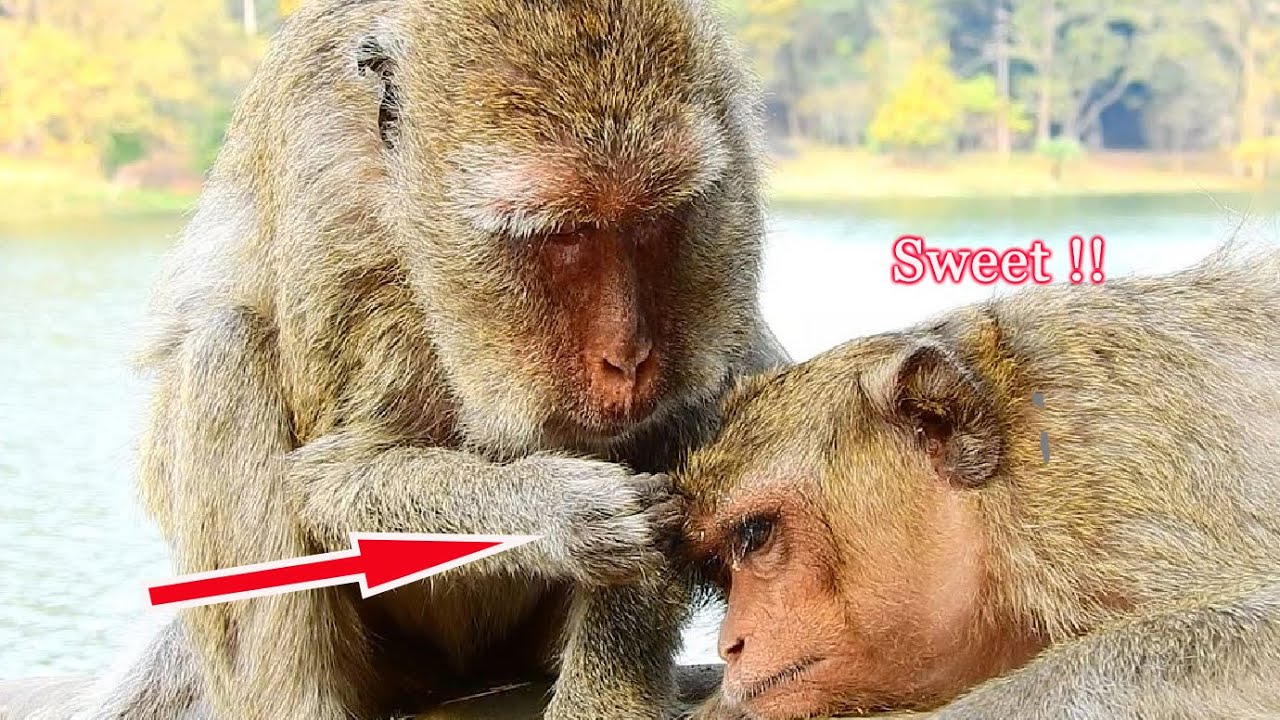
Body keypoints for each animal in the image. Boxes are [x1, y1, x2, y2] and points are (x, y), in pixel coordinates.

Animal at [87, 0, 788, 718]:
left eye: (650, 223)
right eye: (565, 235)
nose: (627, 358)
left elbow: (693, 418)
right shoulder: (334, 215)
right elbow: (331, 480)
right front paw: (556, 511)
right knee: (226, 344)